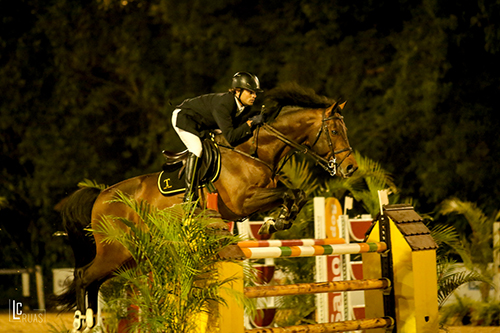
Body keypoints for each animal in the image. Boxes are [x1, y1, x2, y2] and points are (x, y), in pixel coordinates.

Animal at [56, 83, 358, 330]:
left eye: (343, 130)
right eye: (333, 131)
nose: (351, 168)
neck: (254, 151)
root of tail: (101, 195)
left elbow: (297, 194)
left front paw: (277, 221)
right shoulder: (243, 201)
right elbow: (289, 192)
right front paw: (276, 221)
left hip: (130, 255)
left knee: (93, 280)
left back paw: (90, 319)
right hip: (117, 250)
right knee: (83, 275)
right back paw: (81, 321)